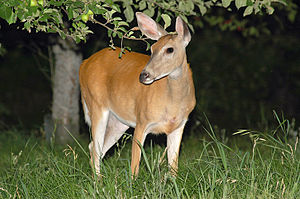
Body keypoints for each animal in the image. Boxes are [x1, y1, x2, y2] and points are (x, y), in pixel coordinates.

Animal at [79, 12, 196, 177]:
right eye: (152, 48)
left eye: (170, 50)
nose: (144, 75)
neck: (173, 103)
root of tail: (84, 64)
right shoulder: (142, 120)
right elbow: (135, 165)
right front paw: (132, 182)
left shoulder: (179, 125)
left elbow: (173, 167)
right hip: (96, 103)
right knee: (96, 147)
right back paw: (98, 181)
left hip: (119, 121)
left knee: (95, 147)